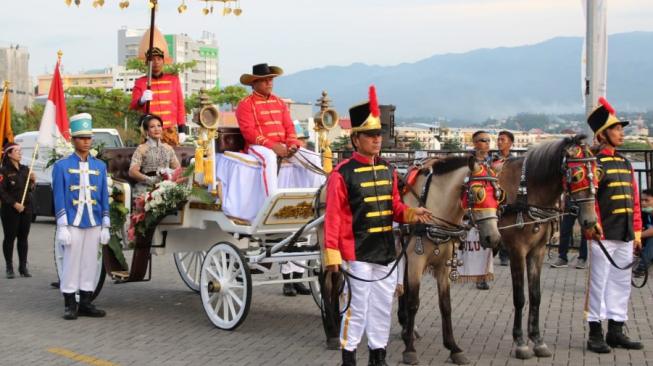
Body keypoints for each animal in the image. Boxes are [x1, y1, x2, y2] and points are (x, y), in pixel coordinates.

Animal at [496, 136, 600, 358]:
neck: (527, 192)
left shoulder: (538, 250)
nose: (590, 220)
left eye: (597, 173)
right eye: (576, 175)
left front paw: (537, 339)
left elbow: (535, 296)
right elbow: (520, 297)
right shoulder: (517, 250)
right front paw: (520, 341)